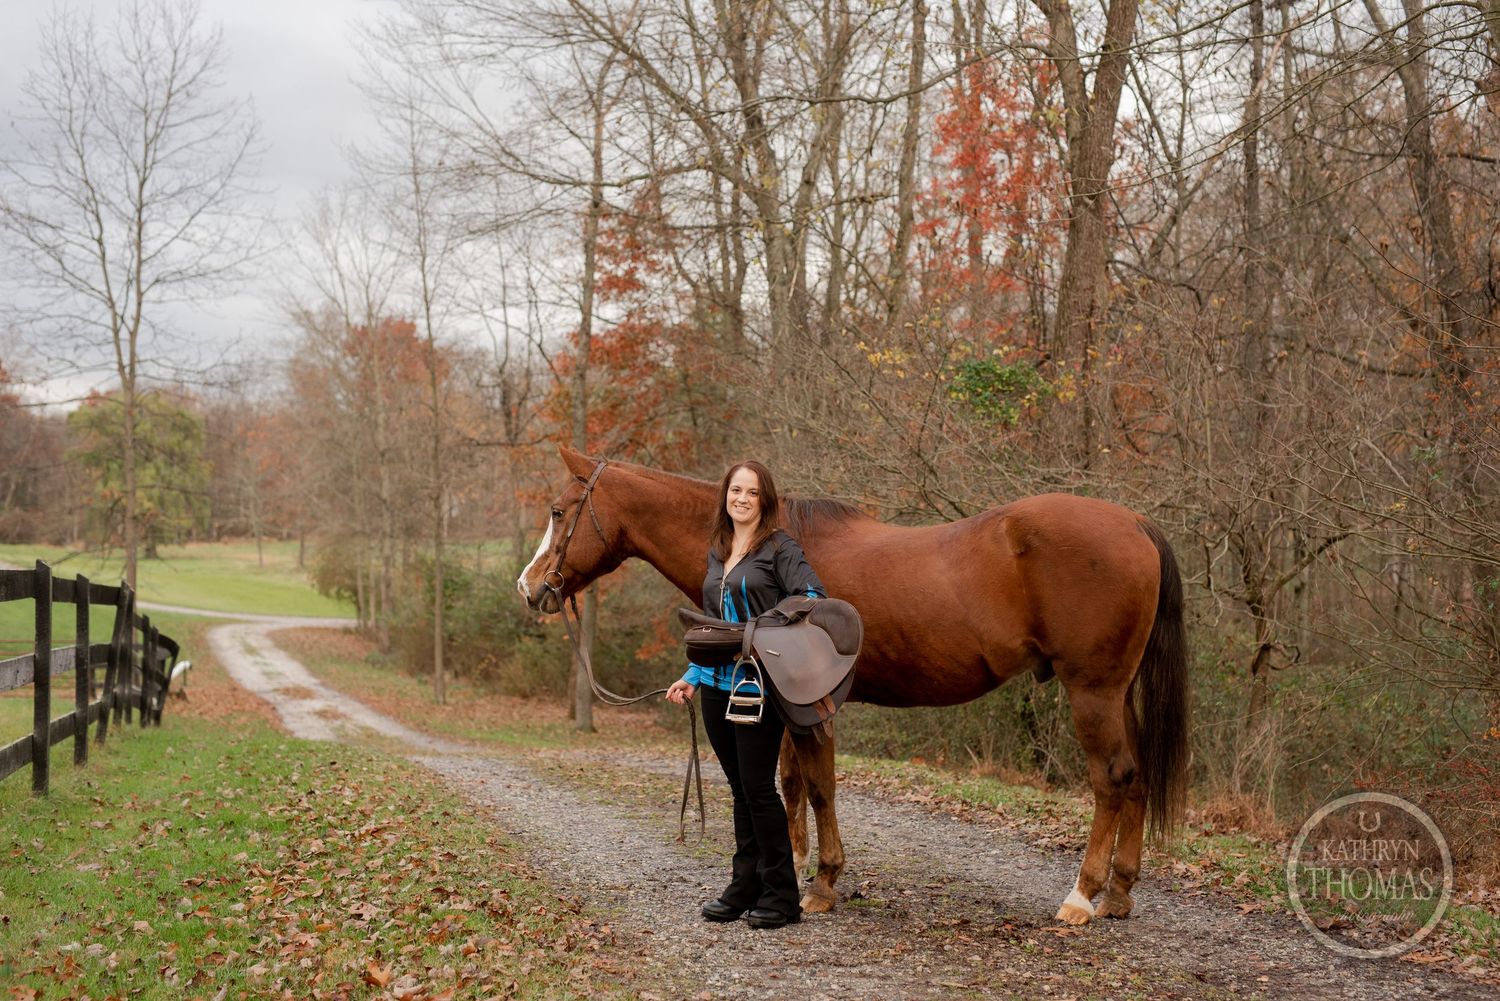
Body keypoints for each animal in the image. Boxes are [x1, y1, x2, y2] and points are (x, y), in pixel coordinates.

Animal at [516, 446, 1189, 926]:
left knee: (1112, 779)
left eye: (558, 510)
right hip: (1117, 693)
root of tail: (1135, 522)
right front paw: (788, 872)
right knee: (1137, 777)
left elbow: (818, 787)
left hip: (1092, 692)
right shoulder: (779, 705)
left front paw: (820, 886)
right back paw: (1119, 895)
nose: (529, 587)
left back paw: (1082, 897)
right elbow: (789, 785)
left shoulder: (813, 709)